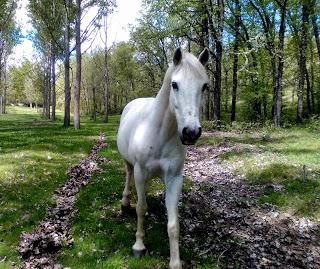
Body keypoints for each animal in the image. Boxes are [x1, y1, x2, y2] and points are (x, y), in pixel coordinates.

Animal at [116, 47, 209, 268]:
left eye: (204, 86)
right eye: (174, 84)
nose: (191, 132)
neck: (160, 133)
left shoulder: (174, 178)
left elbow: (173, 224)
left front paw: (175, 262)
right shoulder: (140, 172)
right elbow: (140, 208)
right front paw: (139, 246)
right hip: (130, 165)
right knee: (128, 176)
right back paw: (125, 202)